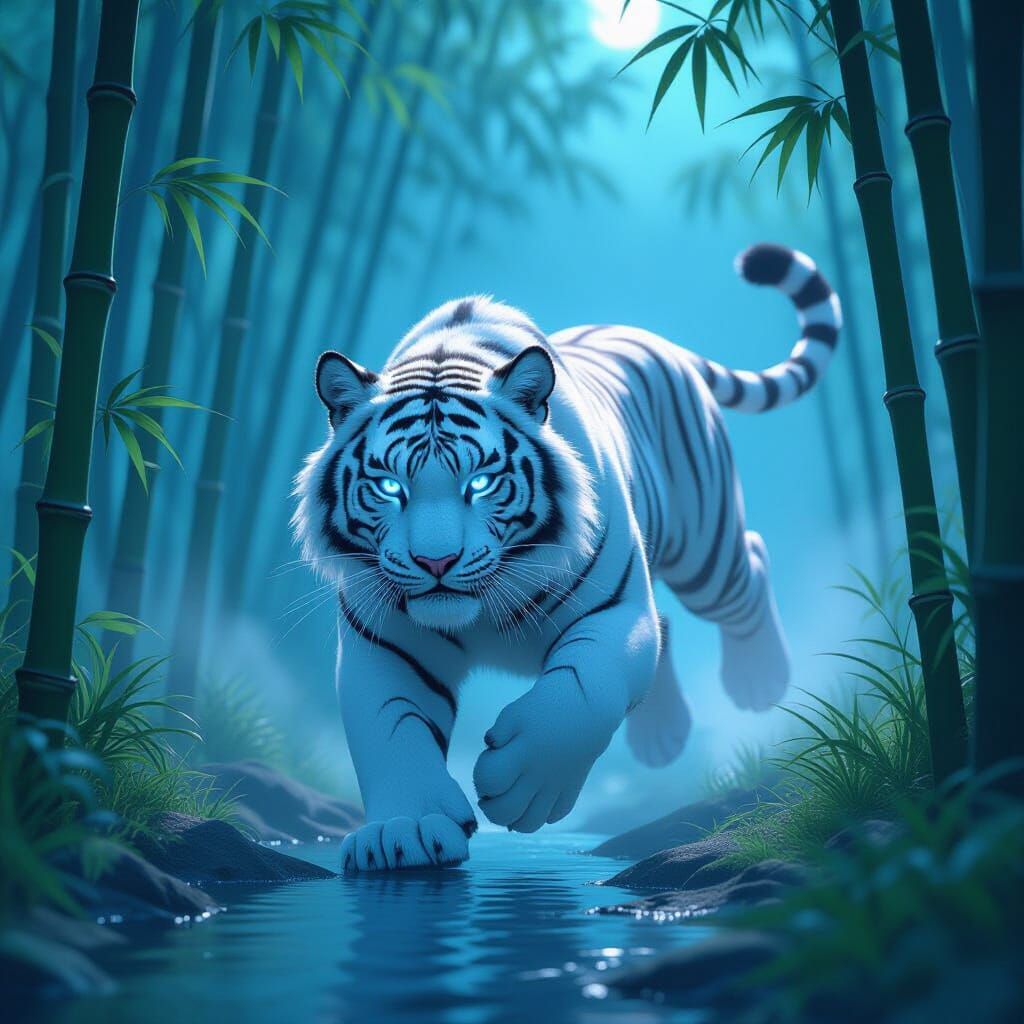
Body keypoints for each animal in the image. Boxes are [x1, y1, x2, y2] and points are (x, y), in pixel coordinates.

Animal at [293, 242, 841, 872]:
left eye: (480, 483)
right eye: (389, 487)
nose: (436, 562)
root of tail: (657, 339)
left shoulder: (613, 611)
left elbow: (581, 694)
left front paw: (525, 786)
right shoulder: (385, 640)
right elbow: (390, 728)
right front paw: (404, 832)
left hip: (703, 543)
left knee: (746, 564)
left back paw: (760, 680)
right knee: (671, 619)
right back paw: (664, 736)